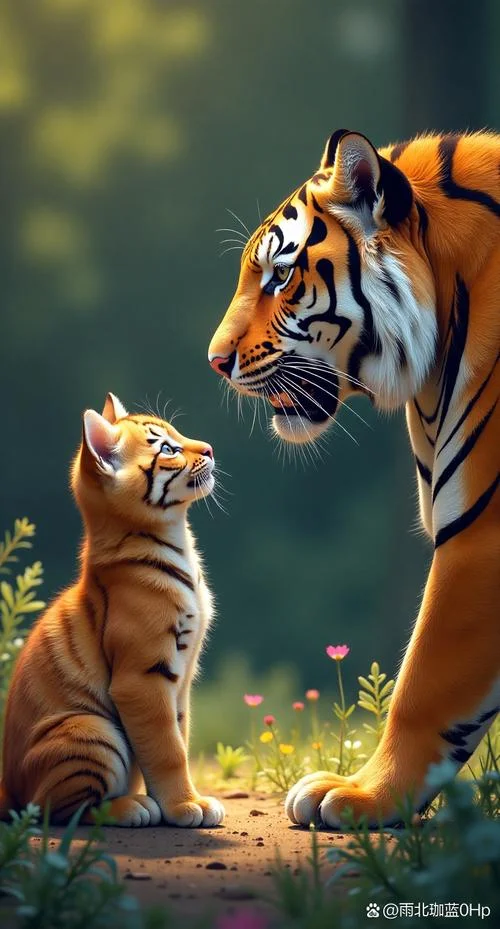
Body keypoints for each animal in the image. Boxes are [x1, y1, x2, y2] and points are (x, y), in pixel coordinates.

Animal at [0, 393, 225, 828]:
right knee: (56, 807)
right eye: (167, 449)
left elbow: (178, 735)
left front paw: (186, 802)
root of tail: (8, 789)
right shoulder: (144, 675)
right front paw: (184, 806)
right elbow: (168, 749)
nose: (209, 448)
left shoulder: (181, 680)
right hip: (93, 731)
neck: (175, 538)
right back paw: (131, 808)